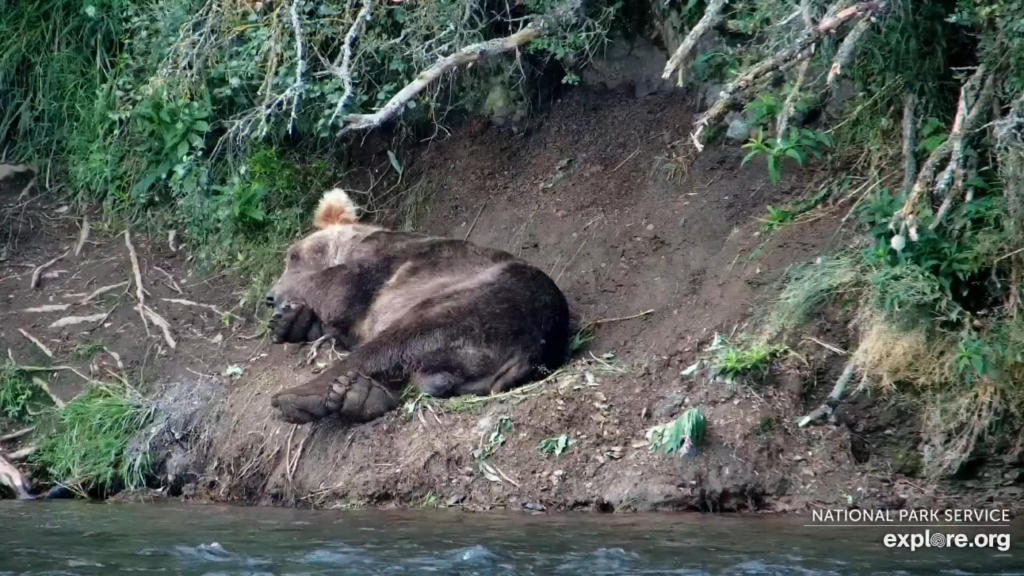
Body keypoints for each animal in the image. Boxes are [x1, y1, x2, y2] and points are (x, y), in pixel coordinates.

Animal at [264, 188, 573, 422]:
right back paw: (360, 396)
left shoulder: (384, 263)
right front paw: (290, 323)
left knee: (393, 344)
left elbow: (338, 292)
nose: (269, 296)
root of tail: (533, 347)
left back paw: (297, 398)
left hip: (477, 304)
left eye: (293, 256)